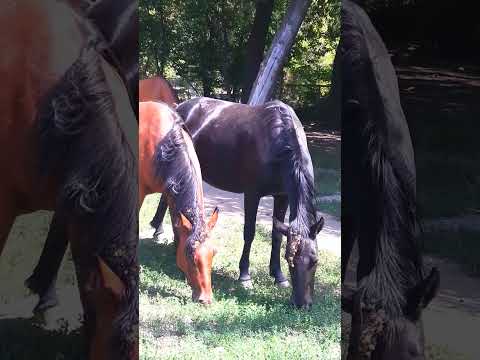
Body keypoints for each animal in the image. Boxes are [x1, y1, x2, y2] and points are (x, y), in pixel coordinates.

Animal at [150, 96, 322, 310]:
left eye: (315, 260)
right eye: (290, 260)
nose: (302, 304)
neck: (279, 143)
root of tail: (181, 106)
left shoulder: (282, 196)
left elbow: (276, 236)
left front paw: (278, 276)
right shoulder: (252, 194)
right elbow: (249, 233)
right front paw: (245, 275)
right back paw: (158, 231)